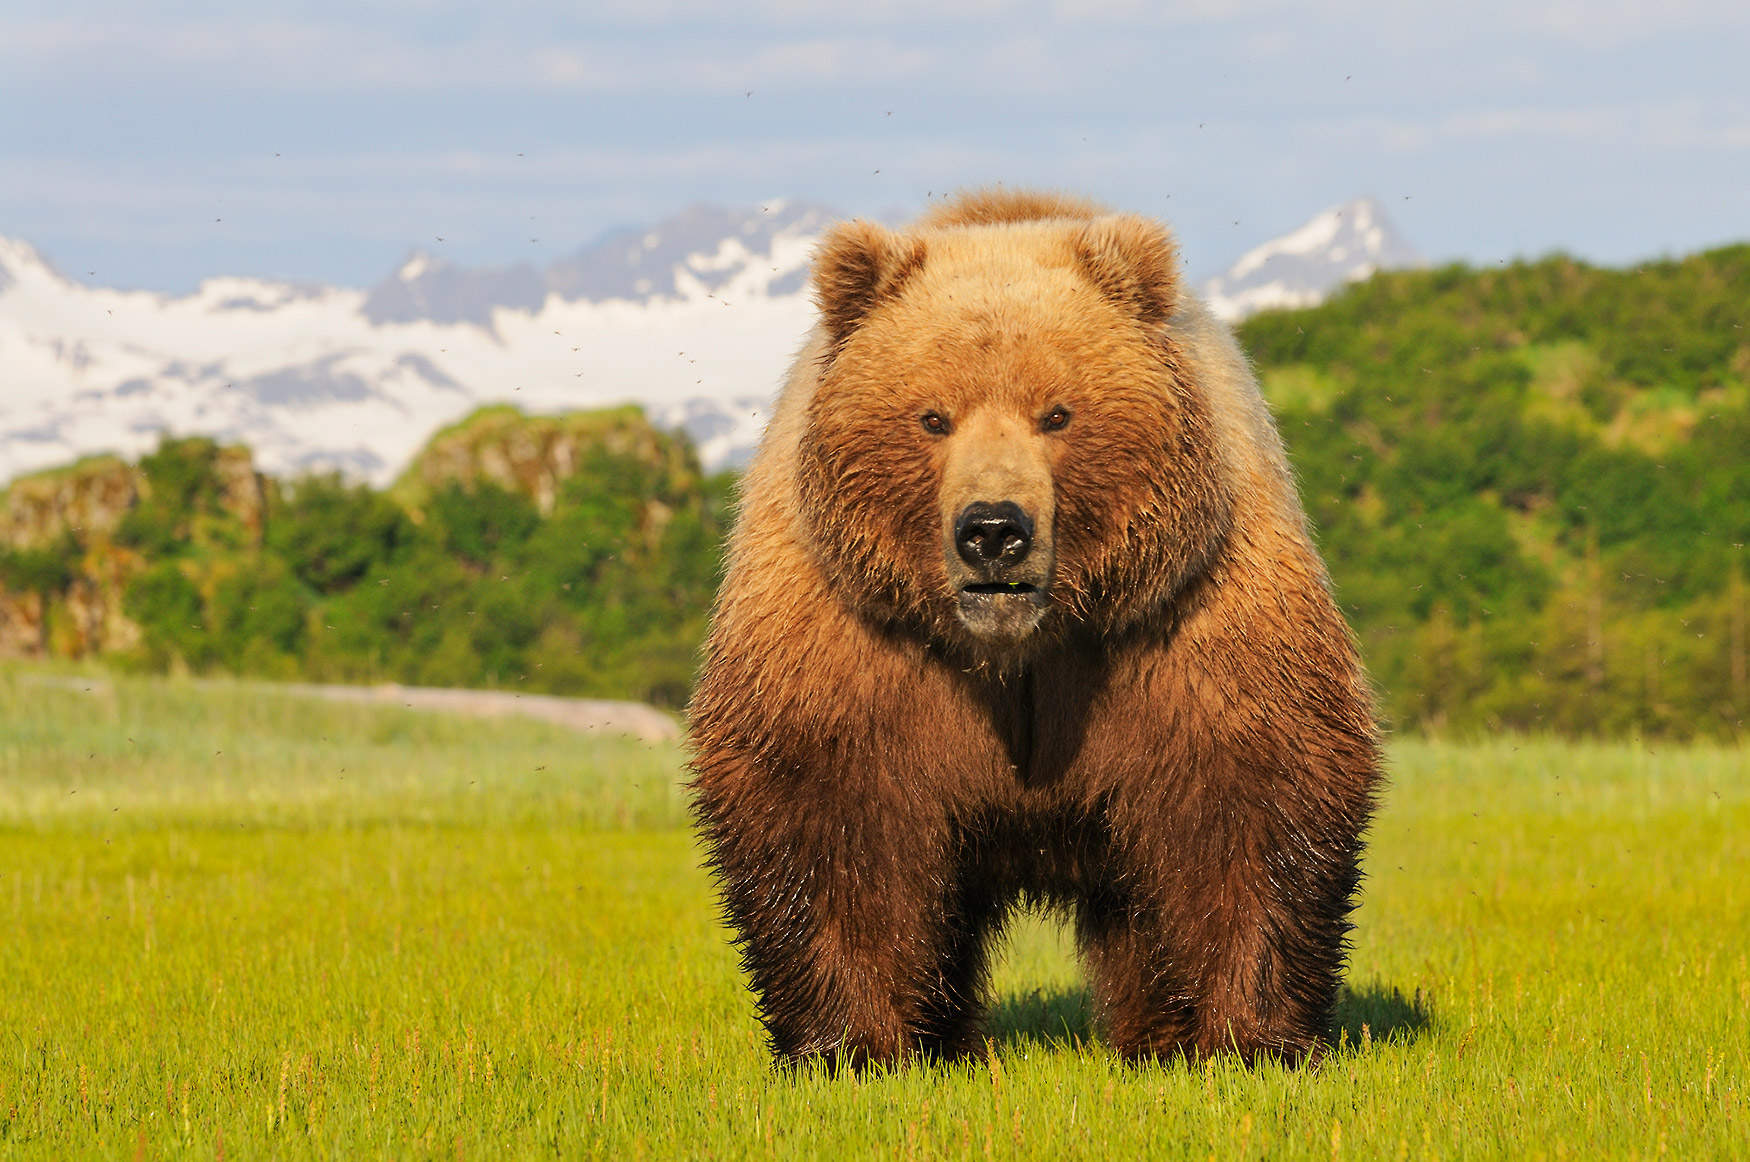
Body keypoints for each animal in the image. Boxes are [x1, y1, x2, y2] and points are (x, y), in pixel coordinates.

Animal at [682, 190, 1379, 1071]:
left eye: (1058, 413)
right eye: (931, 416)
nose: (992, 529)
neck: (1021, 650)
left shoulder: (1182, 620)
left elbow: (1249, 789)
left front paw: (1252, 1040)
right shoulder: (853, 633)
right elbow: (826, 806)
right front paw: (850, 1046)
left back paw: (1155, 1038)